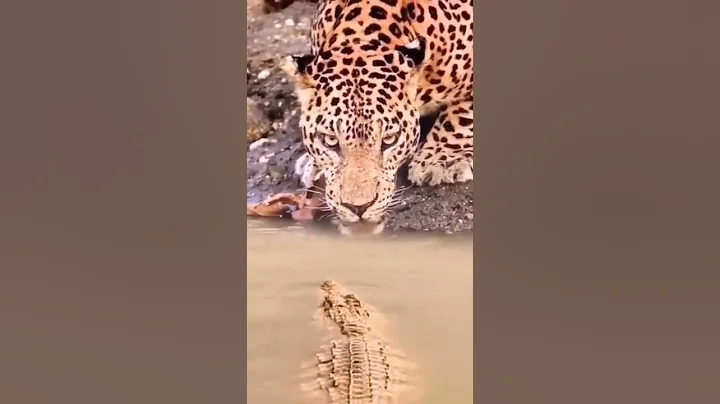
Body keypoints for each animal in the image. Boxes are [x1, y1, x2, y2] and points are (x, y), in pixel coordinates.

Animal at [282, 0, 473, 235]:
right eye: (330, 141)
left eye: (389, 140)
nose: (358, 207)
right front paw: (314, 165)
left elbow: (463, 112)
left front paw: (442, 159)